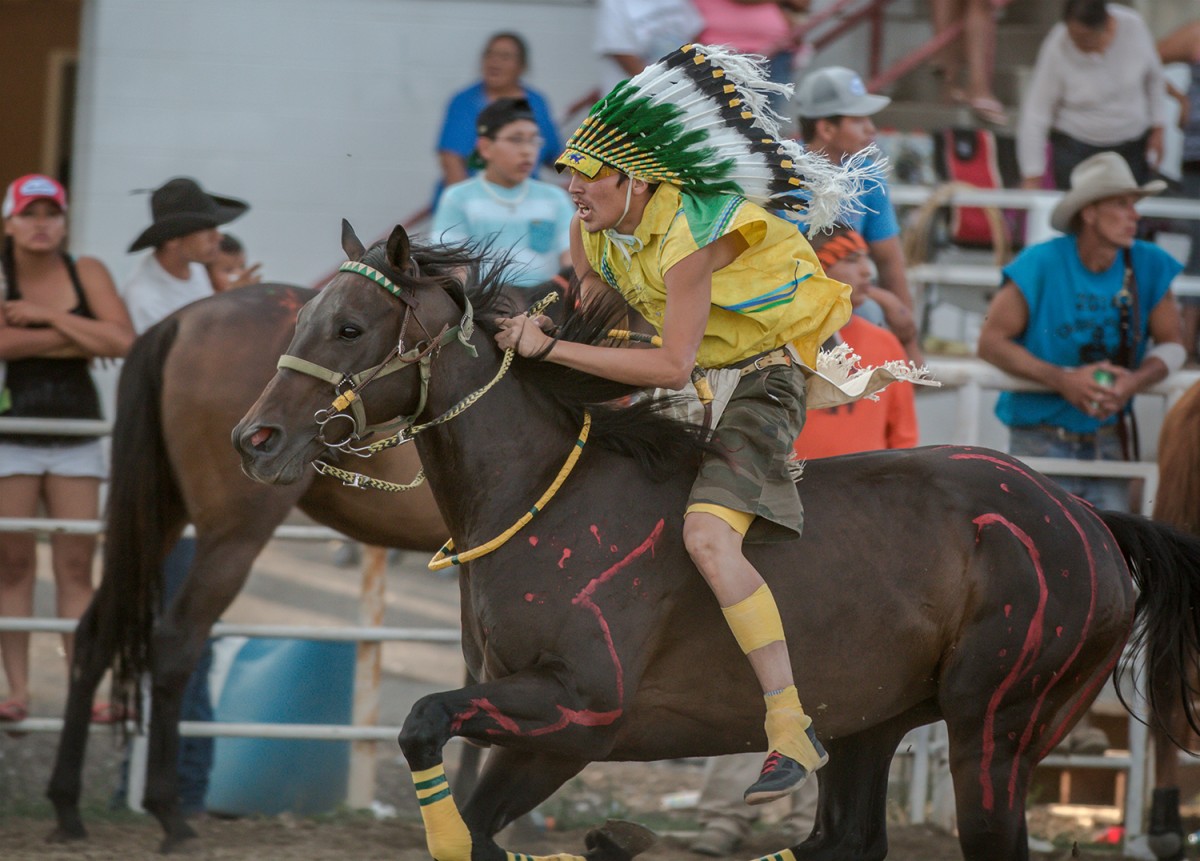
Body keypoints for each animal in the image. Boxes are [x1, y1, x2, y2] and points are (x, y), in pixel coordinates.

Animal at [44, 283, 451, 849]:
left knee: (94, 637)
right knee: (175, 642)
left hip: (157, 518)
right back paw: (169, 813)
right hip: (232, 535)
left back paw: (66, 805)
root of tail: (181, 321)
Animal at [236, 225, 1200, 861]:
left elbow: (425, 726)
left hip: (997, 725)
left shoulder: (578, 714)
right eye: (304, 315)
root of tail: (1087, 520)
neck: (545, 497)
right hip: (869, 723)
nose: (255, 438)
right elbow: (466, 814)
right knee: (846, 838)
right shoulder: (523, 718)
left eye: (351, 326)